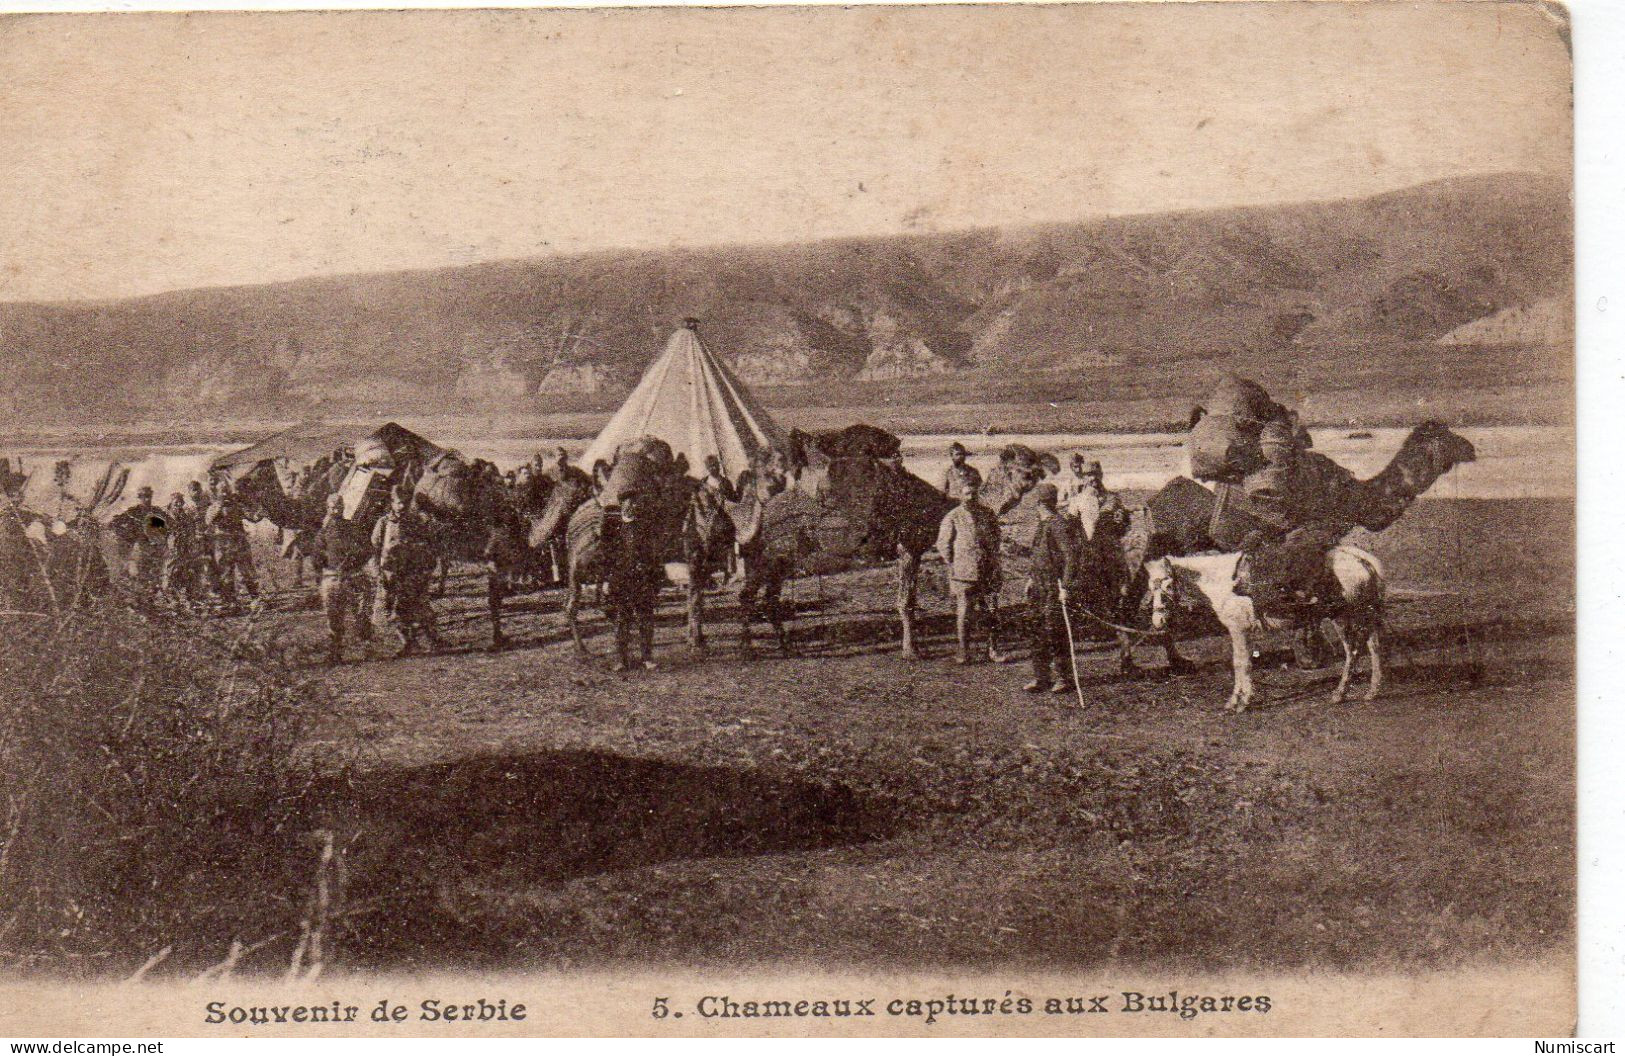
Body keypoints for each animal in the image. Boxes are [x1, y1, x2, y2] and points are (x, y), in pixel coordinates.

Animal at [1144, 545, 1384, 711]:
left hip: (1346, 616)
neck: (1226, 583)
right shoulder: (1242, 632)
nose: (1158, 622)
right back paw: (1370, 691)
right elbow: (1243, 663)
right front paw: (1240, 699)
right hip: (1357, 616)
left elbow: (1240, 664)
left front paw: (1239, 703)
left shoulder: (1238, 630)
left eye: (1168, 585)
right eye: (1150, 587)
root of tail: (1360, 559)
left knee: (1354, 651)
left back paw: (1341, 693)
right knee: (1372, 647)